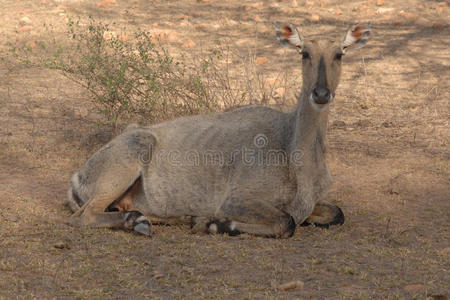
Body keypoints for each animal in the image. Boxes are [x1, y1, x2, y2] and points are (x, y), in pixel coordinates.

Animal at [65, 21, 370, 238]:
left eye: (339, 54)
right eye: (304, 53)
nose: (321, 93)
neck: (292, 152)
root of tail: (77, 176)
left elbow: (336, 213)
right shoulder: (236, 201)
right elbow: (287, 223)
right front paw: (214, 224)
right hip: (129, 157)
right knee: (84, 216)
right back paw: (144, 221)